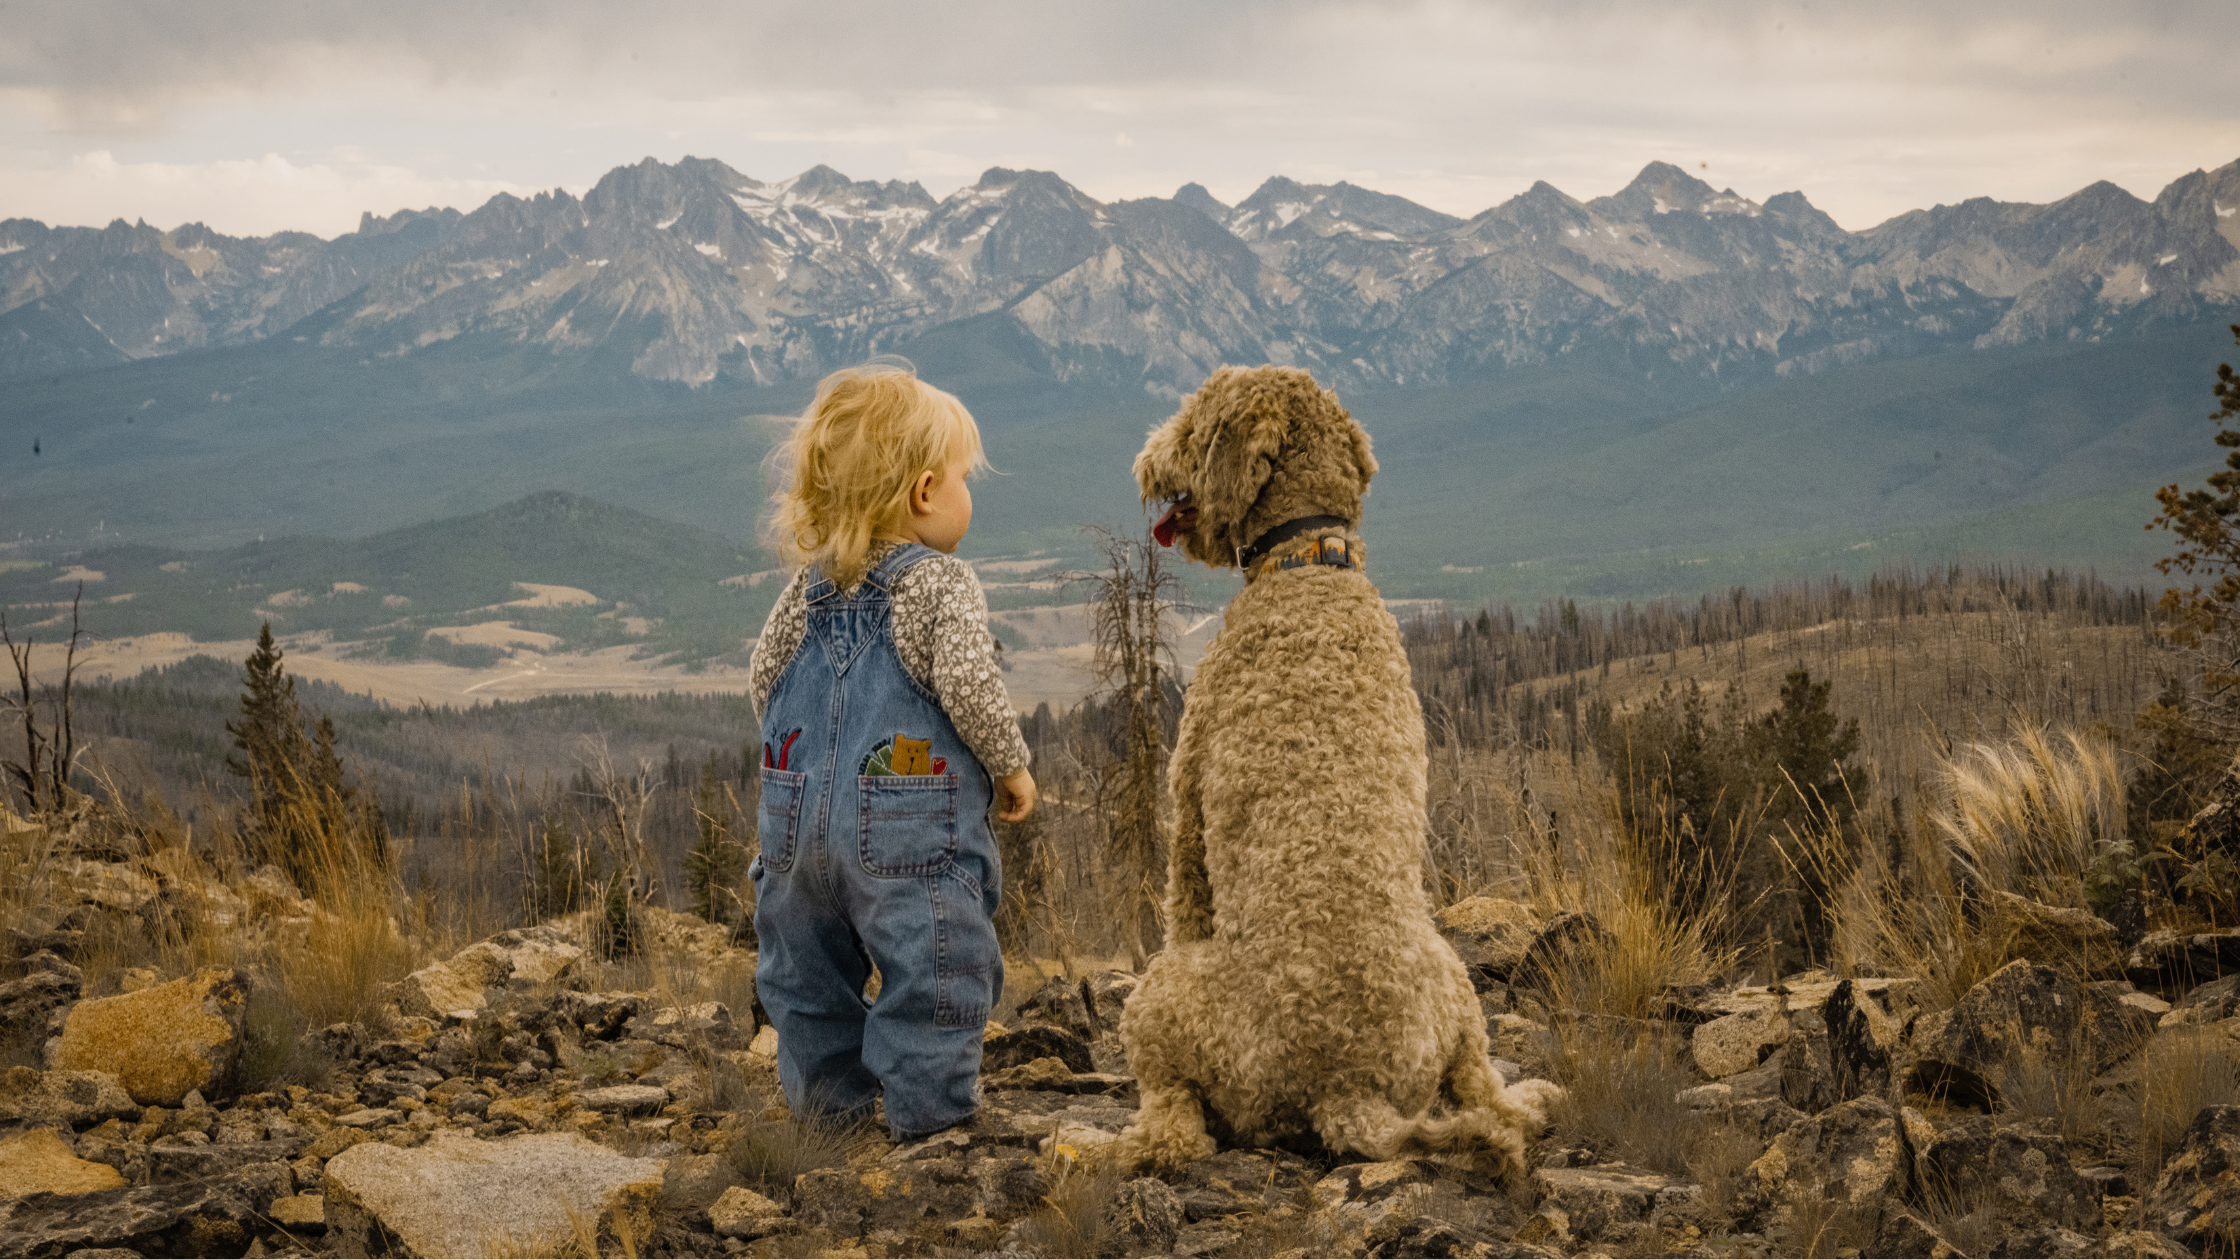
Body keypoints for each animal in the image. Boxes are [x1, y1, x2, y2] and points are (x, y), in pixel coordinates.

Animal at [1106, 363, 1559, 1174]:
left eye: (1191, 424)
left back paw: (1129, 1141)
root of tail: (1349, 1088)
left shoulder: (1188, 802)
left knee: (1180, 1121)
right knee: (1482, 1088)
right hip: (1456, 986)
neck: (1310, 560)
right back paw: (1531, 1098)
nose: (1146, 460)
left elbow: (1183, 889)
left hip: (1164, 1001)